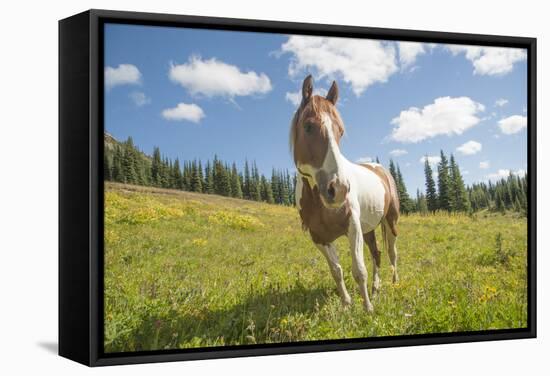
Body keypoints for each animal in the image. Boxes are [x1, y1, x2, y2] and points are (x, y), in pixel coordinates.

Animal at [288, 75, 402, 312]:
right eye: (308, 126)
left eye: (340, 131)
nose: (338, 189)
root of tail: (380, 169)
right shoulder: (319, 237)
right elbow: (337, 271)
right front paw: (347, 303)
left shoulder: (353, 227)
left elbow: (359, 270)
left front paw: (368, 309)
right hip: (369, 228)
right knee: (376, 254)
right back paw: (376, 288)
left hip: (390, 221)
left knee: (391, 252)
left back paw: (395, 283)